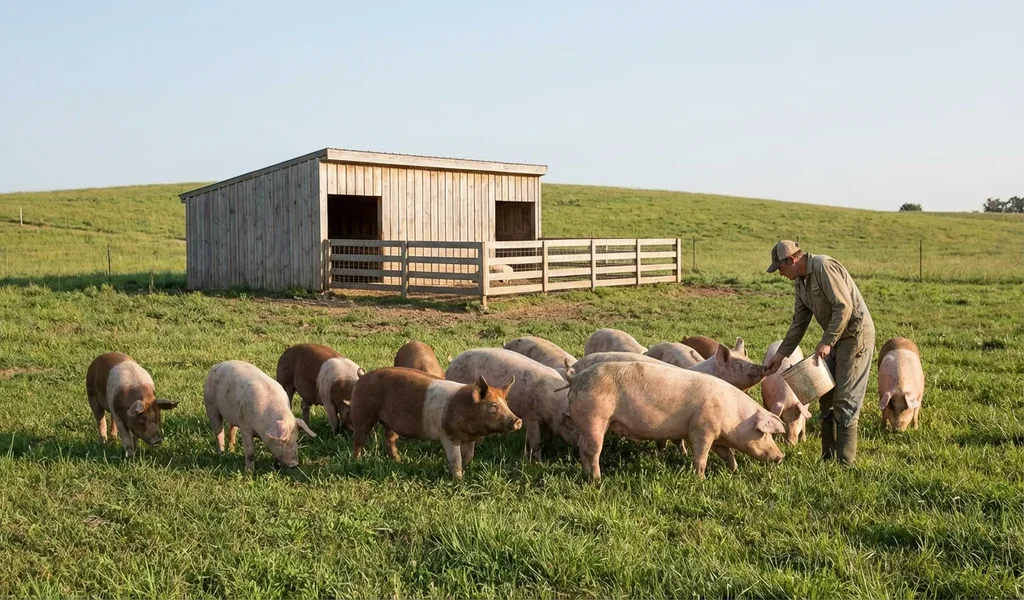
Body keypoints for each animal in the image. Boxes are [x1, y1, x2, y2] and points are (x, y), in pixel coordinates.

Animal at [349, 367, 522, 479]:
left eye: (506, 403)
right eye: (493, 406)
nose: (517, 420)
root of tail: (362, 377)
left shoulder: (470, 438)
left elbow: (469, 455)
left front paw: (464, 470)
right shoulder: (447, 434)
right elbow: (455, 459)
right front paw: (459, 480)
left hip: (389, 423)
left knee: (389, 439)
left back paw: (399, 461)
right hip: (362, 411)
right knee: (359, 439)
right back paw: (357, 461)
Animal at [447, 348, 577, 460]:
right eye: (574, 427)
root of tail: (451, 366)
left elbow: (547, 437)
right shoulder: (530, 415)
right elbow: (536, 441)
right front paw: (538, 462)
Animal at [566, 361, 786, 482]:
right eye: (764, 434)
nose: (781, 456)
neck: (733, 415)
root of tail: (575, 378)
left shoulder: (717, 435)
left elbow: (727, 453)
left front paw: (734, 470)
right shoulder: (702, 429)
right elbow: (701, 456)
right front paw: (701, 479)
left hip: (586, 425)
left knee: (582, 448)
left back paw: (587, 475)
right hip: (595, 418)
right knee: (592, 451)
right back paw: (598, 480)